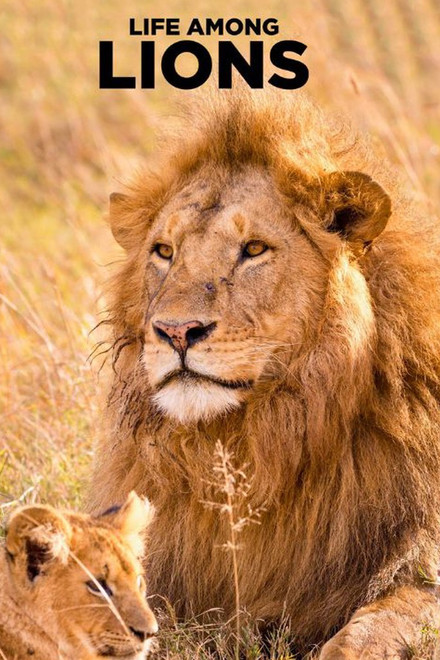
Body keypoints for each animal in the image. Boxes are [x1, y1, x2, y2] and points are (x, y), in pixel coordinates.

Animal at [89, 89, 440, 657]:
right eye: (164, 252)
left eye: (254, 249)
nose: (176, 330)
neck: (258, 443)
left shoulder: (420, 569)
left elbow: (362, 636)